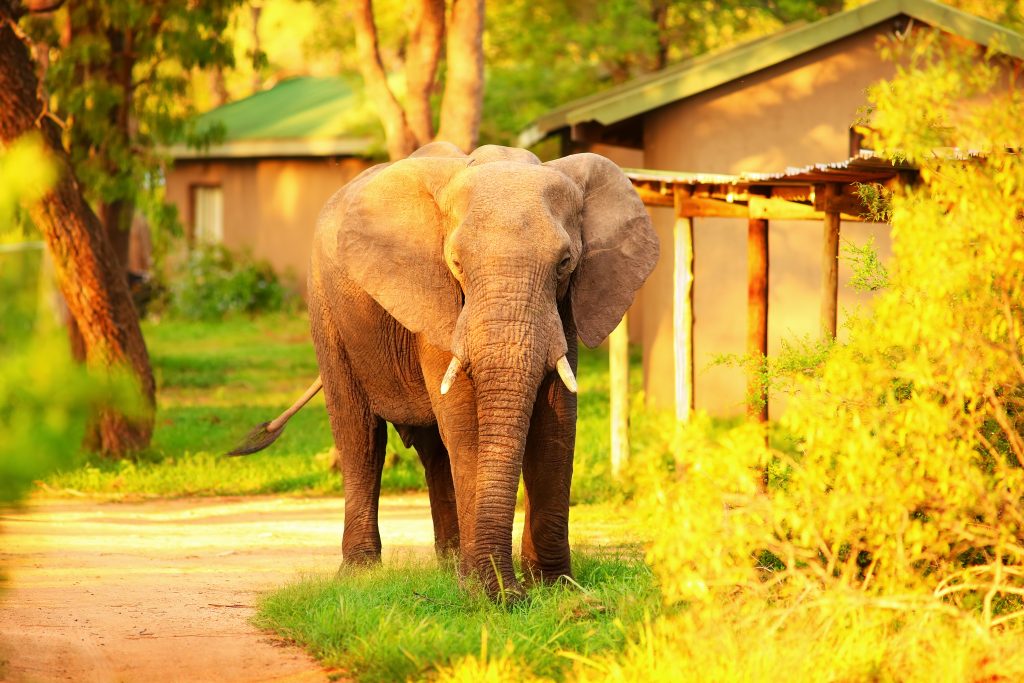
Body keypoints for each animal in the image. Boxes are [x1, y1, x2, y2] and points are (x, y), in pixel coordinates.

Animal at [229, 141, 659, 602]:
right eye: (456, 263)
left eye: (564, 263)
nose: (514, 594)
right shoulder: (435, 299)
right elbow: (466, 424)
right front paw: (491, 593)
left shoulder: (566, 309)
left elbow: (556, 424)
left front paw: (554, 588)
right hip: (326, 310)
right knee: (360, 436)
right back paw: (363, 574)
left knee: (433, 450)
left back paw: (451, 566)